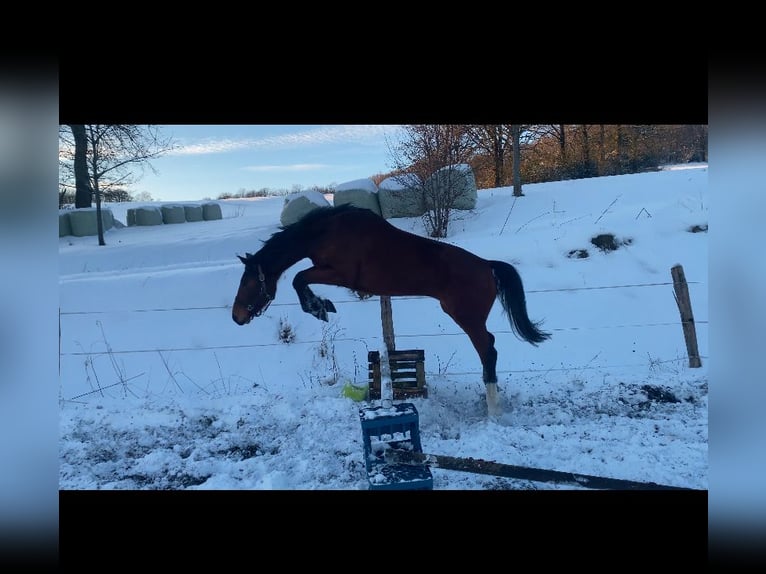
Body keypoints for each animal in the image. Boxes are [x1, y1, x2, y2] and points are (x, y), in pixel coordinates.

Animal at [230, 205, 552, 416]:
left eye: (247, 281)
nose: (237, 316)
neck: (327, 232)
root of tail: (486, 266)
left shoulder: (340, 274)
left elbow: (299, 279)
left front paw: (319, 307)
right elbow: (300, 279)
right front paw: (321, 306)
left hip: (467, 318)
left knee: (488, 351)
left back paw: (493, 410)